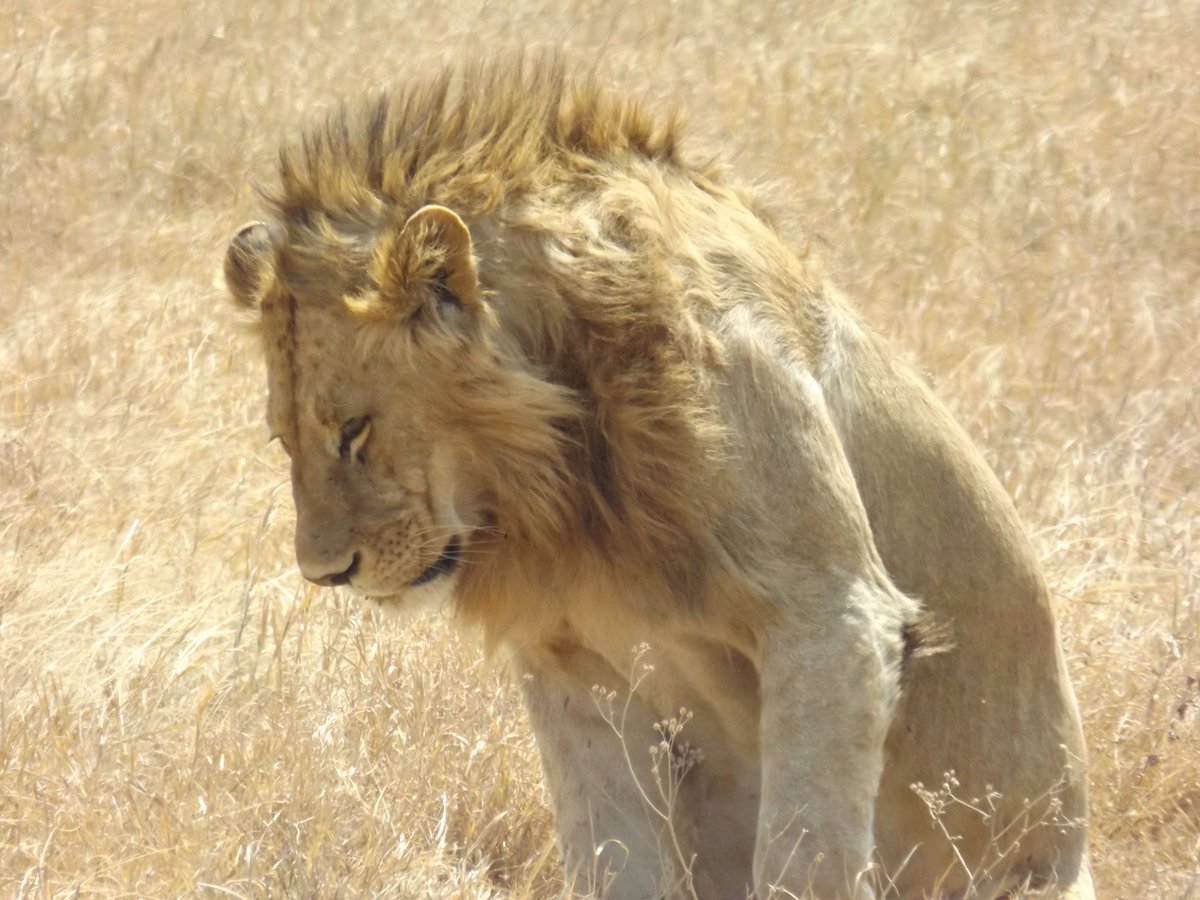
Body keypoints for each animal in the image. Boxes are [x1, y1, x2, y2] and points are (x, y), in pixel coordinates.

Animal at [222, 58, 1092, 899]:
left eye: (354, 430)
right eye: (283, 438)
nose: (324, 573)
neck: (560, 482)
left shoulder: (832, 616)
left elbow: (805, 854)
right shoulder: (571, 662)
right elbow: (610, 855)